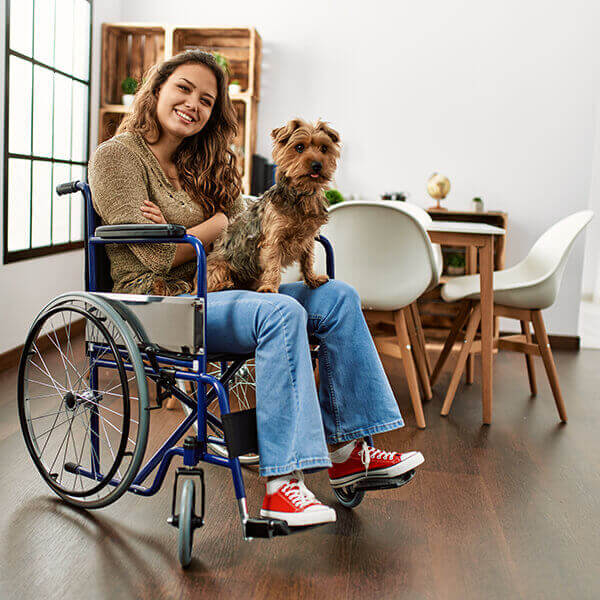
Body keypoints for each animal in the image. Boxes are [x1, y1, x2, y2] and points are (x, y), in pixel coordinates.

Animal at [206, 118, 340, 292]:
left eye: (324, 148)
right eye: (299, 147)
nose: (317, 165)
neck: (301, 194)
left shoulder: (308, 238)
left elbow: (308, 259)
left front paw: (312, 279)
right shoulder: (273, 238)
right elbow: (273, 263)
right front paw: (269, 287)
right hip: (220, 264)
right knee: (211, 281)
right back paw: (225, 284)